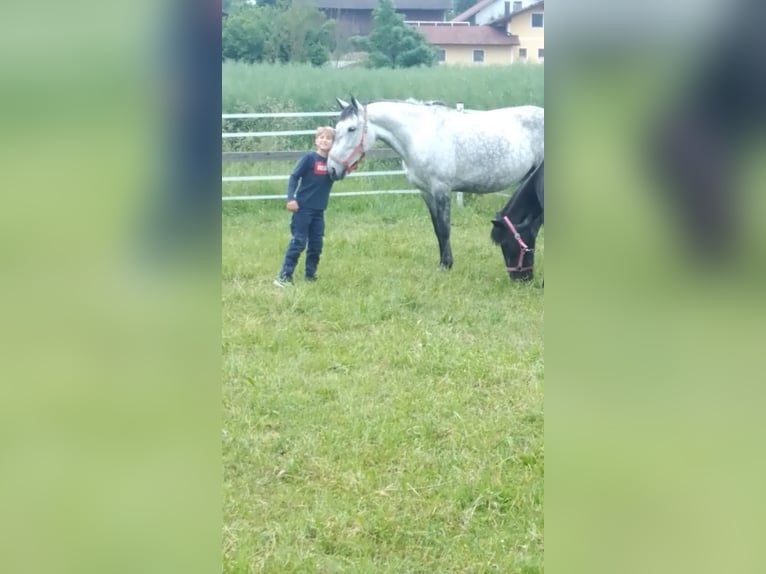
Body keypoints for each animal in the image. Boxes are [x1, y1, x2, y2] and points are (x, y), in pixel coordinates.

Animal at [328, 97, 544, 270]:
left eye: (351, 129)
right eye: (336, 129)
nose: (332, 169)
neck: (418, 134)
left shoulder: (441, 190)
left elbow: (445, 228)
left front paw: (447, 265)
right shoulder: (426, 192)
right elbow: (437, 229)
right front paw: (442, 263)